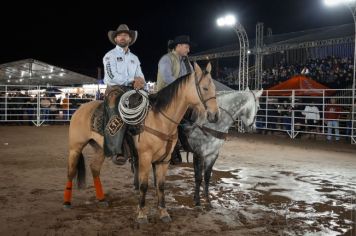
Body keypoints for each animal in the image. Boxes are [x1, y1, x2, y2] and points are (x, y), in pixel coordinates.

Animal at [62, 62, 218, 223]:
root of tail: (81, 108)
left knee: (94, 169)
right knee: (71, 171)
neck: (159, 120)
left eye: (214, 88)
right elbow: (143, 185)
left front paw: (163, 212)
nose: (214, 116)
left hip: (100, 148)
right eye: (205, 88)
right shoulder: (145, 157)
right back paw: (67, 202)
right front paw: (142, 214)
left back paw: (101, 199)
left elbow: (161, 186)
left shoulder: (164, 160)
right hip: (75, 147)